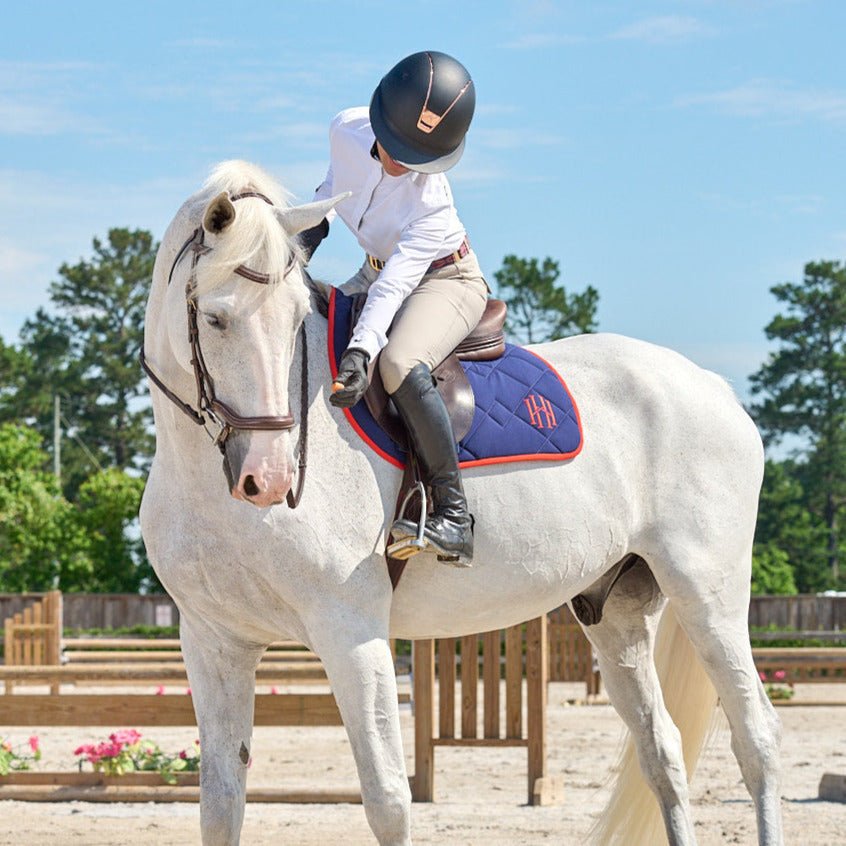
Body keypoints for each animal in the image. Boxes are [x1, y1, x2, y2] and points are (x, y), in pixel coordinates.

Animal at [141, 161, 788, 846]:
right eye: (216, 319)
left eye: (295, 322)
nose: (267, 478)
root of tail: (713, 387)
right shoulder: (214, 643)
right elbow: (220, 802)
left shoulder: (350, 632)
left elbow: (388, 801)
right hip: (616, 612)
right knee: (661, 751)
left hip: (707, 594)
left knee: (756, 739)